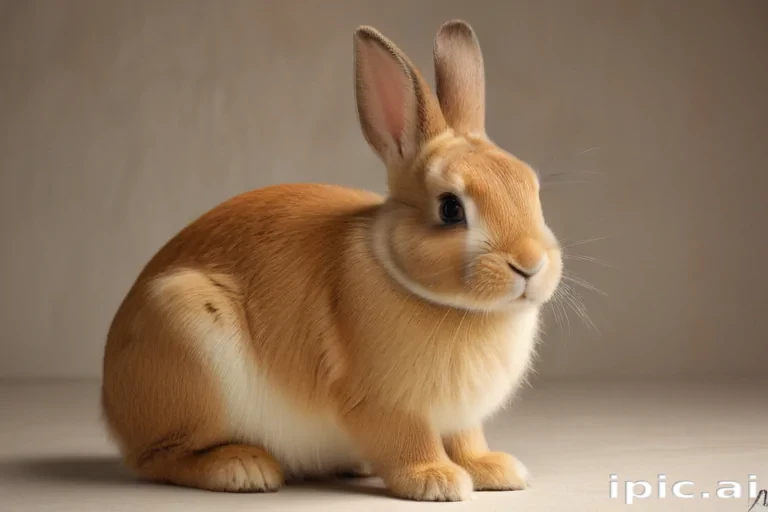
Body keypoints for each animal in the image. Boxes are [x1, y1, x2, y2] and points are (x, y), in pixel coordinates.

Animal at [101, 19, 563, 502]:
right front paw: (437, 480)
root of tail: (112, 403)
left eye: (532, 189)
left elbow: (468, 440)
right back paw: (243, 468)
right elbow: (409, 441)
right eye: (450, 209)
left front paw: (494, 470)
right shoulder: (386, 403)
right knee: (162, 457)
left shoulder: (460, 417)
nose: (530, 264)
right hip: (184, 336)